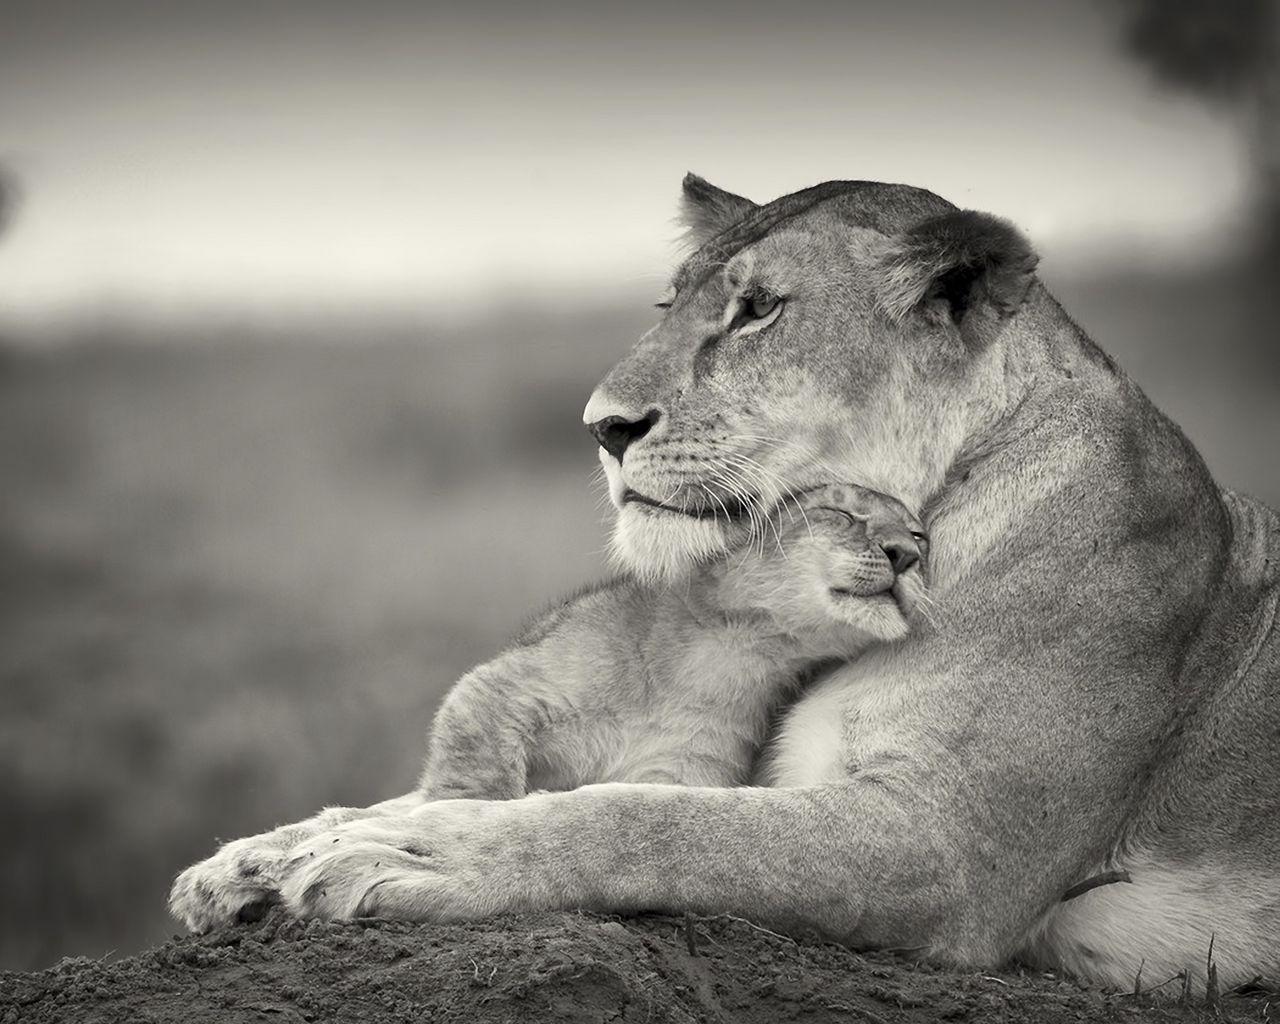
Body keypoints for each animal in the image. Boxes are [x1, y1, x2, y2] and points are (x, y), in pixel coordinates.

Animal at [170, 174, 1280, 990]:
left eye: (757, 311)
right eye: (672, 304)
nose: (602, 427)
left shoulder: (952, 848)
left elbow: (647, 821)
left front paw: (411, 855)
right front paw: (259, 861)